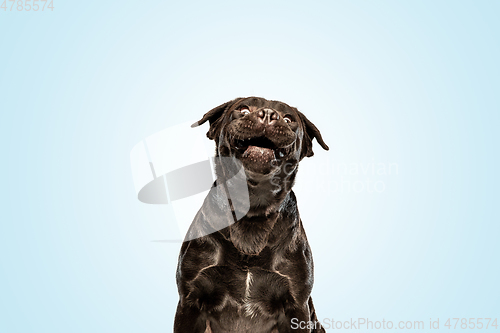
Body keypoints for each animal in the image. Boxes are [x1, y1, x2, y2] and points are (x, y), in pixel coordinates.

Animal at [174, 96, 330, 332]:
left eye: (288, 119)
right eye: (243, 109)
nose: (268, 114)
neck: (252, 207)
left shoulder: (297, 306)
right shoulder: (190, 301)